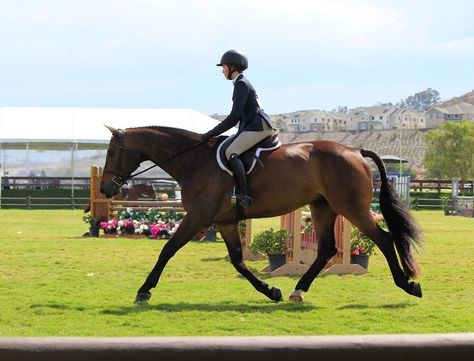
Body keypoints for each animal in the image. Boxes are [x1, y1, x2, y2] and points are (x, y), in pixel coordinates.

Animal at [100, 125, 422, 302]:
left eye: (113, 152)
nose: (104, 189)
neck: (194, 161)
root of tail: (355, 150)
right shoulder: (225, 221)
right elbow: (238, 261)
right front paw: (271, 290)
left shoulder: (198, 217)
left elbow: (167, 250)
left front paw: (144, 290)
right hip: (323, 207)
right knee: (327, 249)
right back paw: (297, 291)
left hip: (351, 208)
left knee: (384, 238)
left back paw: (408, 284)